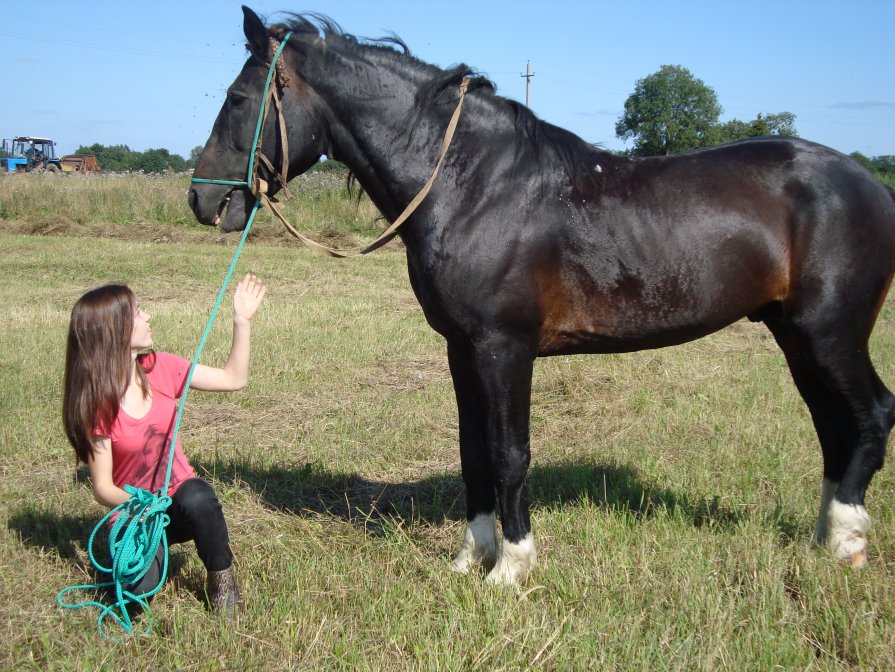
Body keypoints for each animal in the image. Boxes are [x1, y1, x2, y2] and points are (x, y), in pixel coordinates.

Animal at [189, 5, 895, 584]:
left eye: (239, 97)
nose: (202, 199)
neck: (470, 183)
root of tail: (871, 184)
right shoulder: (462, 350)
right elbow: (474, 453)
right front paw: (470, 558)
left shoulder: (504, 348)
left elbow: (509, 453)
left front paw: (512, 567)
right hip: (794, 336)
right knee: (833, 426)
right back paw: (824, 538)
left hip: (830, 334)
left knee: (872, 414)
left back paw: (849, 539)